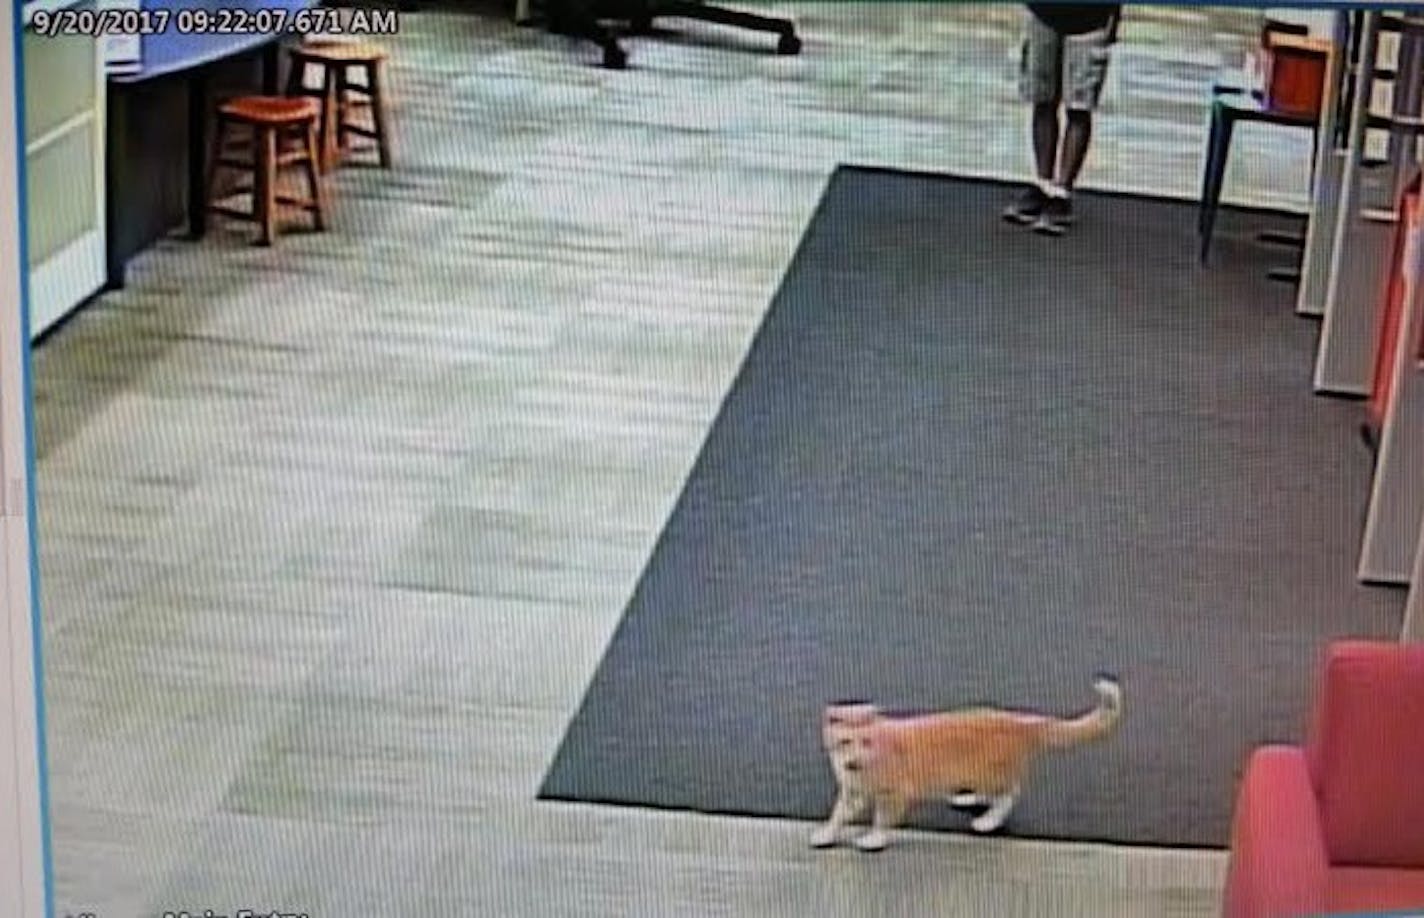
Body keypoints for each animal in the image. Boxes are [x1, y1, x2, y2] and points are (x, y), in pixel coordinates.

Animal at [814, 677, 1122, 848]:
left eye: (866, 742)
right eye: (846, 742)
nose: (854, 762)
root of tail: (1019, 720)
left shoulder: (895, 794)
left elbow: (882, 819)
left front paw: (874, 839)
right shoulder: (851, 793)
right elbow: (838, 815)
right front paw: (826, 834)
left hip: (992, 774)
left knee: (1010, 793)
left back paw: (988, 820)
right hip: (977, 774)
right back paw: (967, 796)